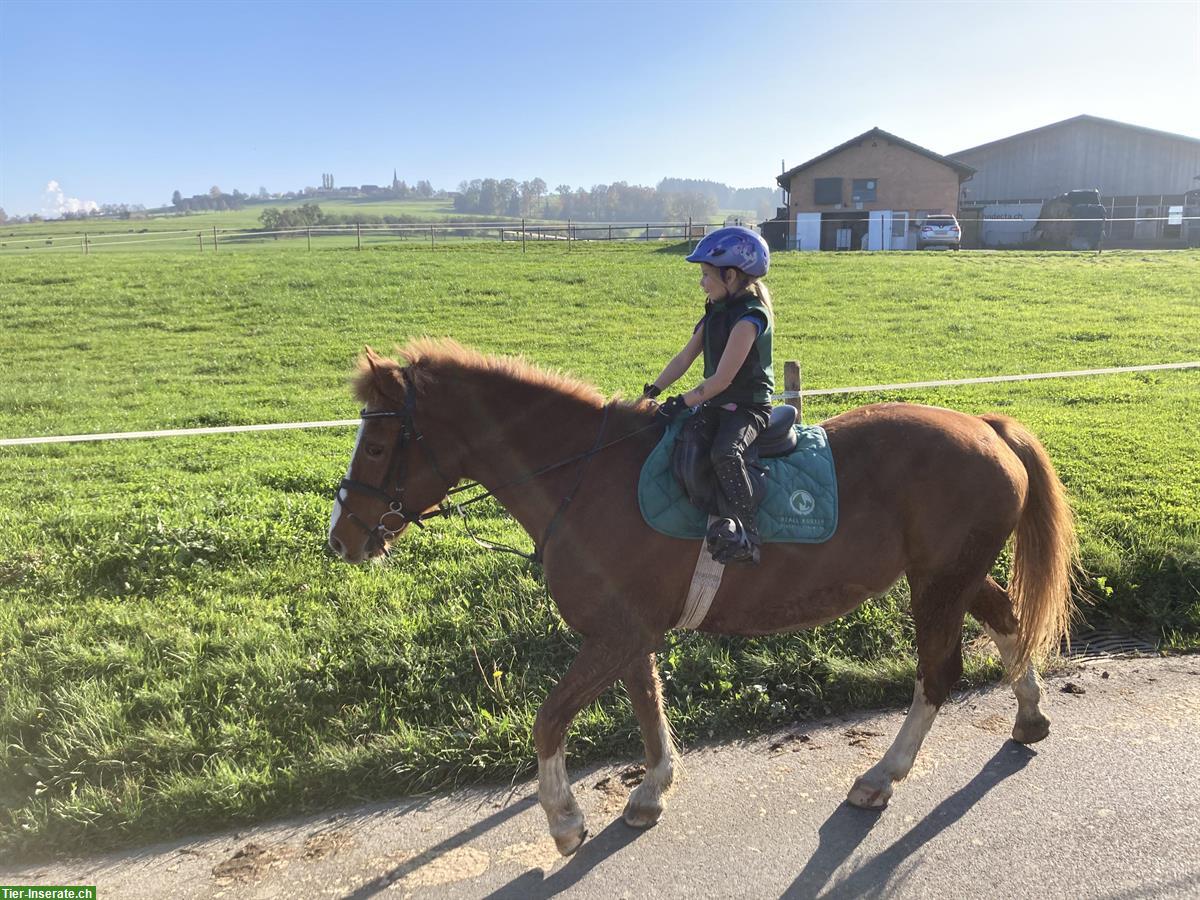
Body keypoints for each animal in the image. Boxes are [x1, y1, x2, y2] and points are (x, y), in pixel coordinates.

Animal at [328, 340, 1080, 854]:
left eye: (378, 445)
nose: (342, 538)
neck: (586, 478)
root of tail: (986, 427)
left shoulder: (616, 634)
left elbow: (549, 720)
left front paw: (565, 819)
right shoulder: (626, 633)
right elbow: (646, 705)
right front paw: (650, 789)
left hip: (937, 583)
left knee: (938, 673)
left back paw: (883, 774)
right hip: (951, 575)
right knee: (1007, 619)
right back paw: (1029, 716)